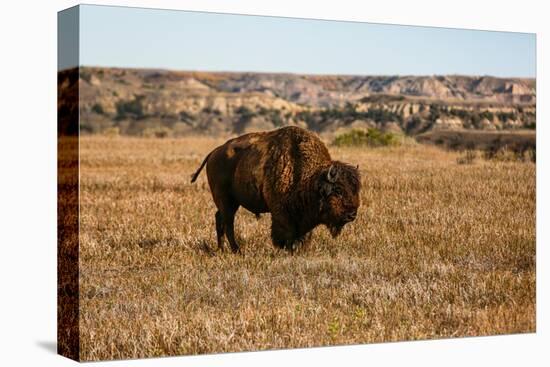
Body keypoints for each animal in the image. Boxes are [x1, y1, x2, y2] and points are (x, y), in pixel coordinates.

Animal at [190, 126, 362, 253]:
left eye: (355, 190)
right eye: (338, 190)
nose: (352, 214)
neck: (308, 178)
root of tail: (214, 152)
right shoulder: (281, 213)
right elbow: (286, 232)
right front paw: (287, 249)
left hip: (230, 203)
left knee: (220, 219)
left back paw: (221, 249)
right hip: (226, 201)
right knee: (228, 223)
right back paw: (236, 250)